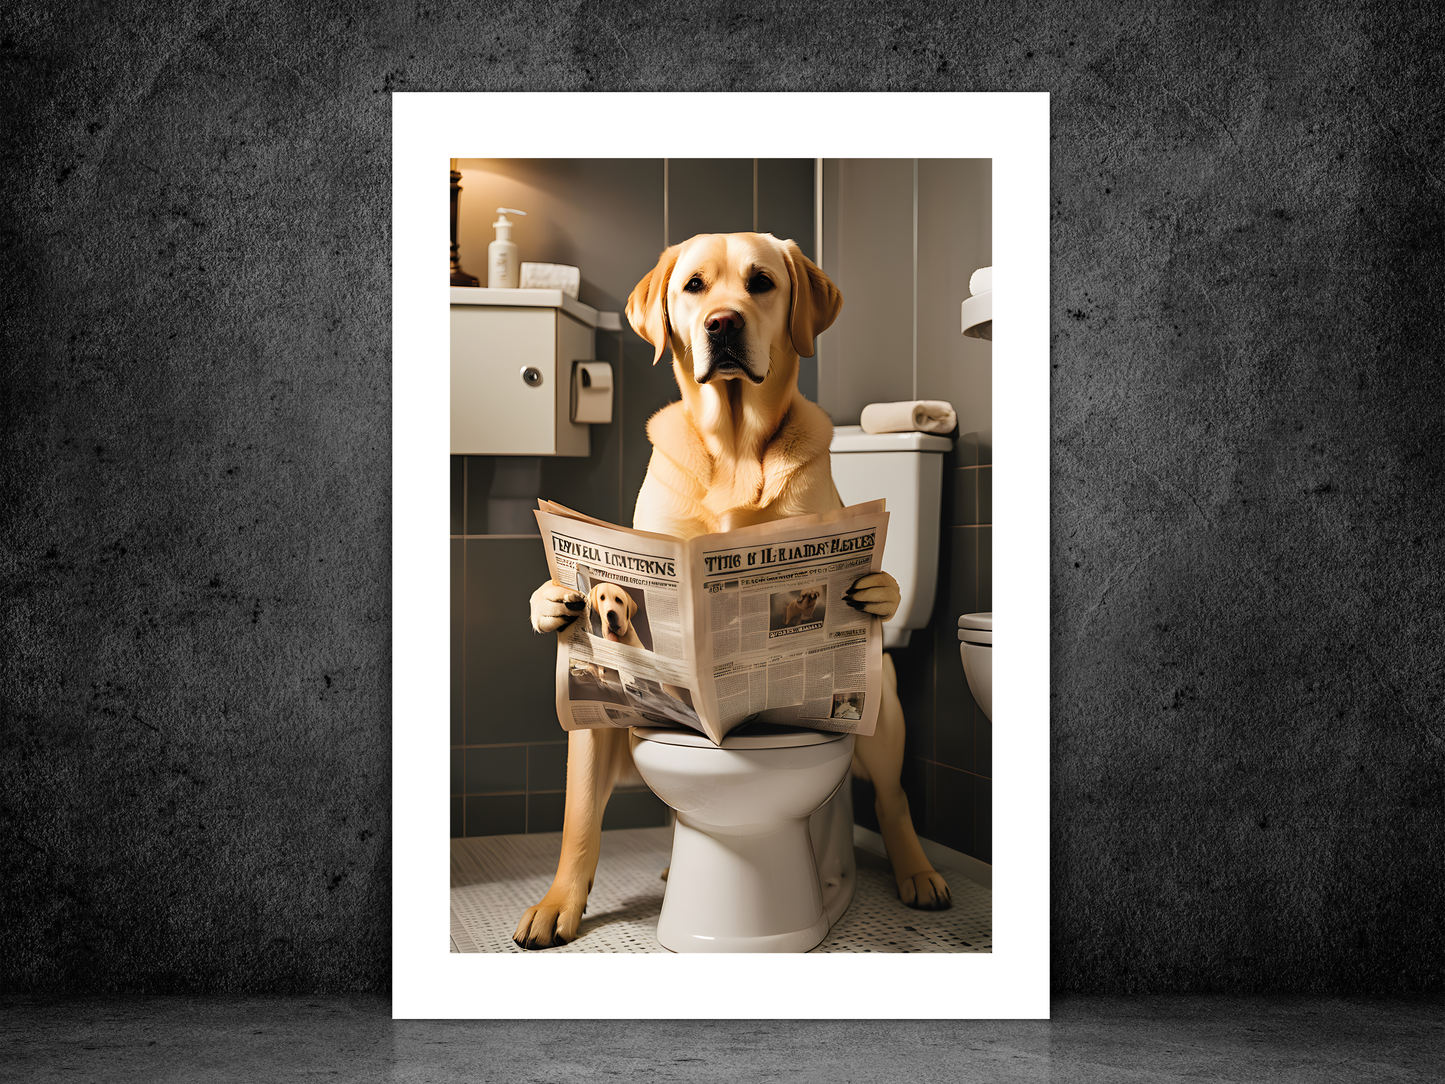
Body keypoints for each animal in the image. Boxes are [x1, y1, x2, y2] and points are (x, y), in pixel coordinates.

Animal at [520, 231, 947, 948]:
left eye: (760, 282)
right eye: (694, 286)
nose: (721, 323)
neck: (734, 448)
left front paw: (876, 590)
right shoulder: (596, 711)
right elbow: (578, 819)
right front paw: (558, 906)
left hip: (879, 698)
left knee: (892, 798)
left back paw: (916, 872)